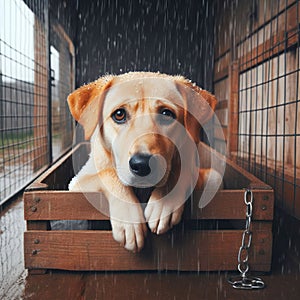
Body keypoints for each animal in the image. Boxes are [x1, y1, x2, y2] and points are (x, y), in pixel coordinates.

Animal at [68, 71, 221, 252]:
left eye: (166, 114)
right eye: (119, 114)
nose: (142, 165)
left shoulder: (214, 177)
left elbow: (183, 171)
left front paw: (164, 201)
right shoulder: (77, 182)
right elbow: (108, 173)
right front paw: (129, 219)